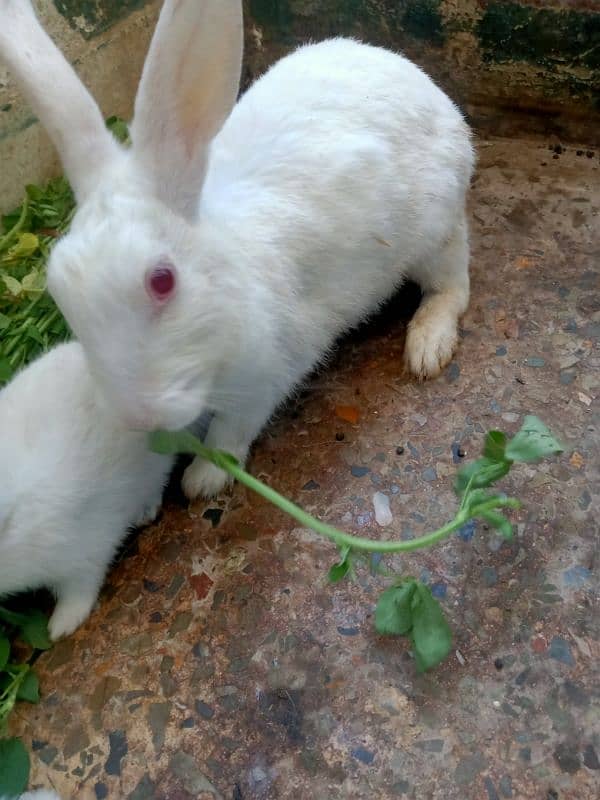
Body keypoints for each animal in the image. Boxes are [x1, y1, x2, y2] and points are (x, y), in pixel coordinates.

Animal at [0, 1, 474, 500]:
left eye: (162, 281)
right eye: (59, 293)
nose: (138, 417)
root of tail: (421, 83)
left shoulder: (267, 374)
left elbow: (231, 432)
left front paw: (202, 480)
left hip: (435, 232)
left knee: (453, 285)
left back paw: (426, 348)